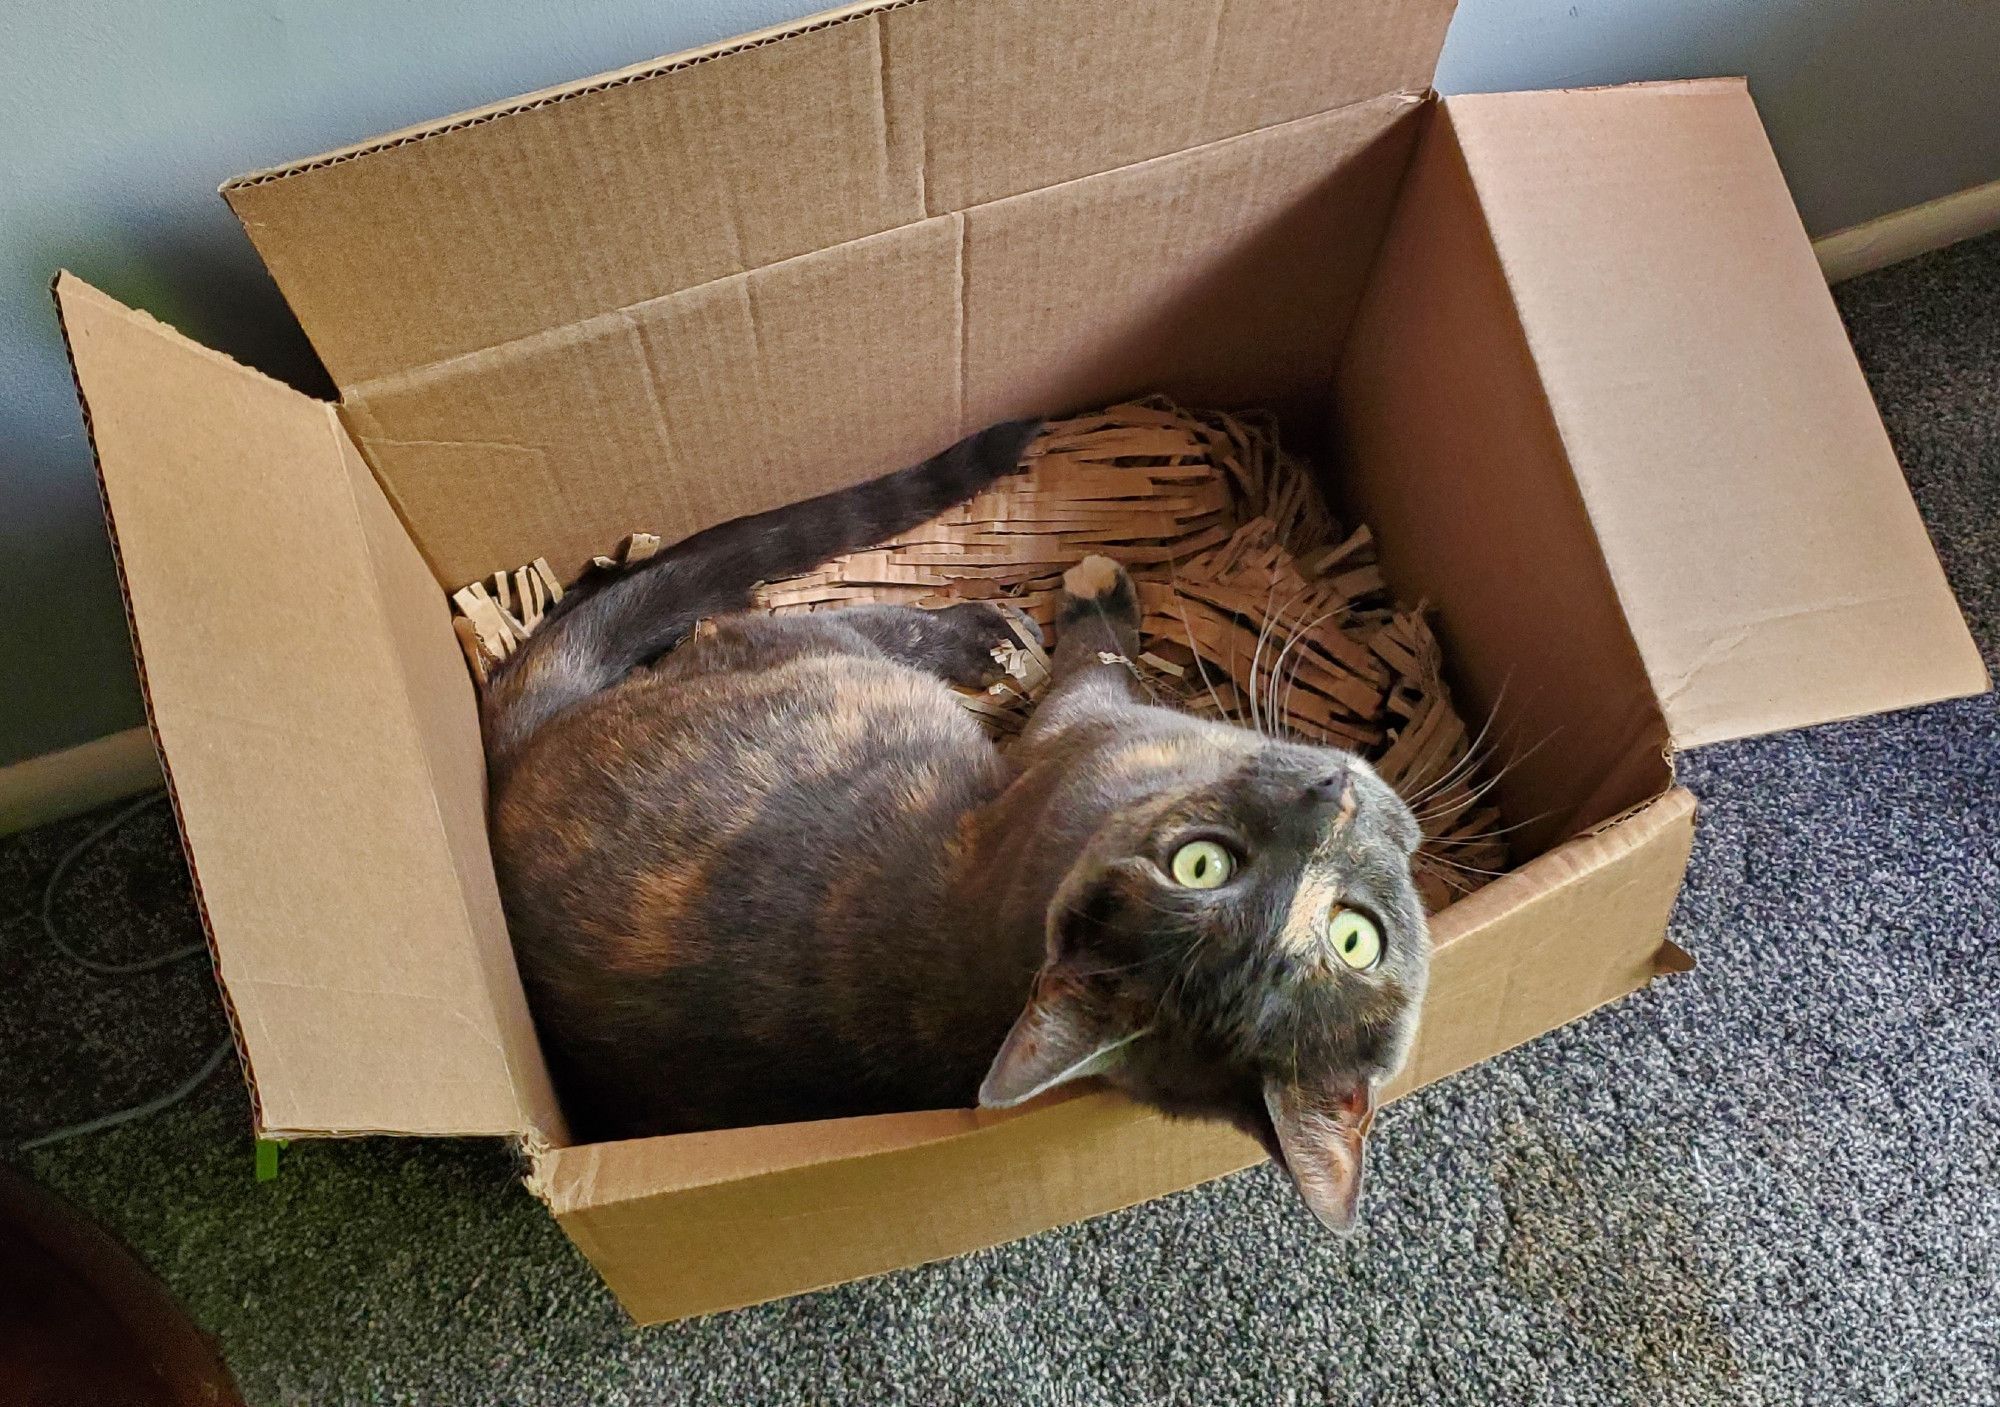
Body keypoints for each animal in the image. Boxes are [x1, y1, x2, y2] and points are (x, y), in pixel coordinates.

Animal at [482, 419, 1424, 1231]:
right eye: (1202, 865)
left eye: (1351, 939)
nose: (1330, 798)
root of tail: (509, 771)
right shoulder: (1077, 721)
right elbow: (1098, 657)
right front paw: (1097, 589)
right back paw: (987, 633)